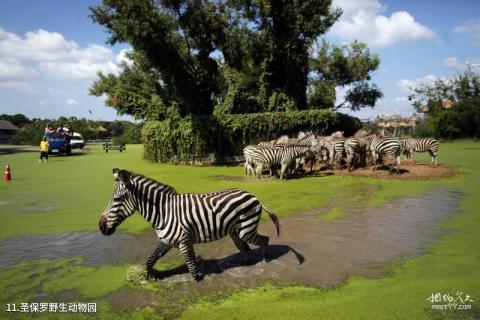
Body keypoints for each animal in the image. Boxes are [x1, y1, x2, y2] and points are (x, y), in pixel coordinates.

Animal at [100, 169, 282, 282]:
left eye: (116, 199)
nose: (101, 227)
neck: (163, 213)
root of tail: (254, 196)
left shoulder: (184, 242)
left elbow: (192, 269)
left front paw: (198, 280)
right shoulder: (166, 242)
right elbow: (150, 261)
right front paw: (148, 277)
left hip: (247, 230)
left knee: (265, 239)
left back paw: (266, 260)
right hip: (235, 231)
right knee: (245, 249)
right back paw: (245, 264)